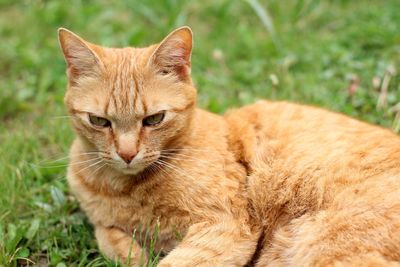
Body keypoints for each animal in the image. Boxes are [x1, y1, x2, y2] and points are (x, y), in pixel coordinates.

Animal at [58, 25, 400, 267]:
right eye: (99, 121)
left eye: (154, 119)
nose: (127, 154)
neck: (123, 189)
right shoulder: (102, 219)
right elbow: (106, 235)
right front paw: (131, 253)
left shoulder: (224, 227)